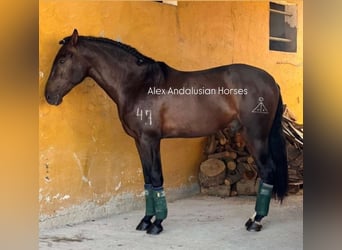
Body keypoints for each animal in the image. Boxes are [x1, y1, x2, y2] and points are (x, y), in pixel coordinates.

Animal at [44, 29, 288, 234]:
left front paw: (157, 223)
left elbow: (156, 176)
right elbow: (147, 180)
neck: (138, 84)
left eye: (63, 59)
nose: (49, 96)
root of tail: (272, 81)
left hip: (256, 136)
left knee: (267, 171)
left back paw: (255, 221)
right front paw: (146, 220)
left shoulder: (150, 140)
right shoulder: (139, 141)